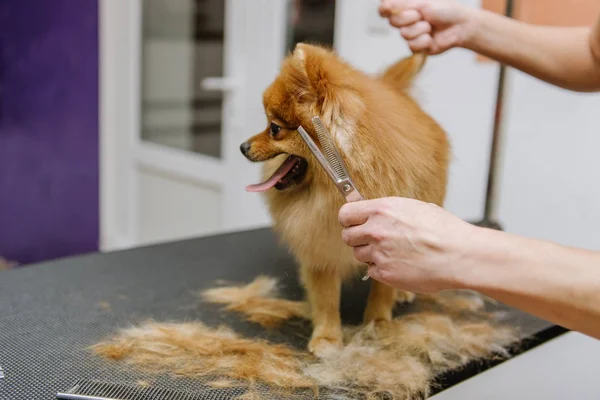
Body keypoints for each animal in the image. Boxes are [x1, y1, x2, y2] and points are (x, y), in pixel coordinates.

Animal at [241, 43, 448, 356]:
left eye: (274, 128)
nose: (243, 146)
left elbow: (382, 288)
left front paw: (378, 323)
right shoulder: (320, 248)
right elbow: (326, 297)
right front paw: (327, 337)